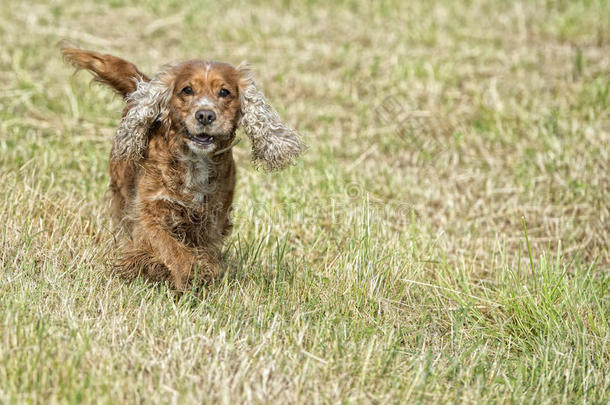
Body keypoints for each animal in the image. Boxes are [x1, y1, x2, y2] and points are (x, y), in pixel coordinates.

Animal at [60, 45, 302, 290]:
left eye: (224, 92)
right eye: (187, 90)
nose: (205, 115)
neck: (194, 161)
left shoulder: (211, 218)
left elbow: (204, 251)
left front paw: (206, 272)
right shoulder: (148, 212)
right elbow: (170, 248)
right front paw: (189, 273)